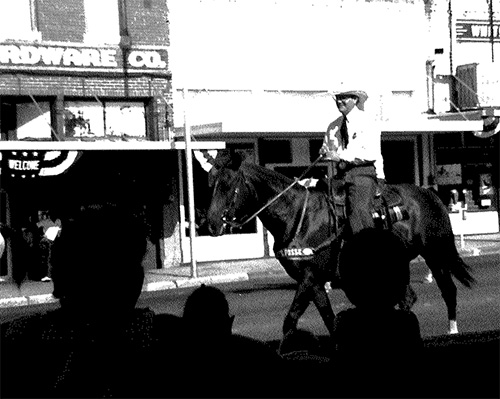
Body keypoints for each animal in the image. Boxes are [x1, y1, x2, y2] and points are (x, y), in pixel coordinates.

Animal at [205, 151, 474, 340]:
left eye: (227, 184)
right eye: (210, 182)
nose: (210, 224)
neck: (297, 215)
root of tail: (430, 194)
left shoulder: (309, 277)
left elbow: (290, 320)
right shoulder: (312, 281)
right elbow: (328, 318)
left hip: (435, 253)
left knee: (448, 290)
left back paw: (452, 331)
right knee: (407, 298)